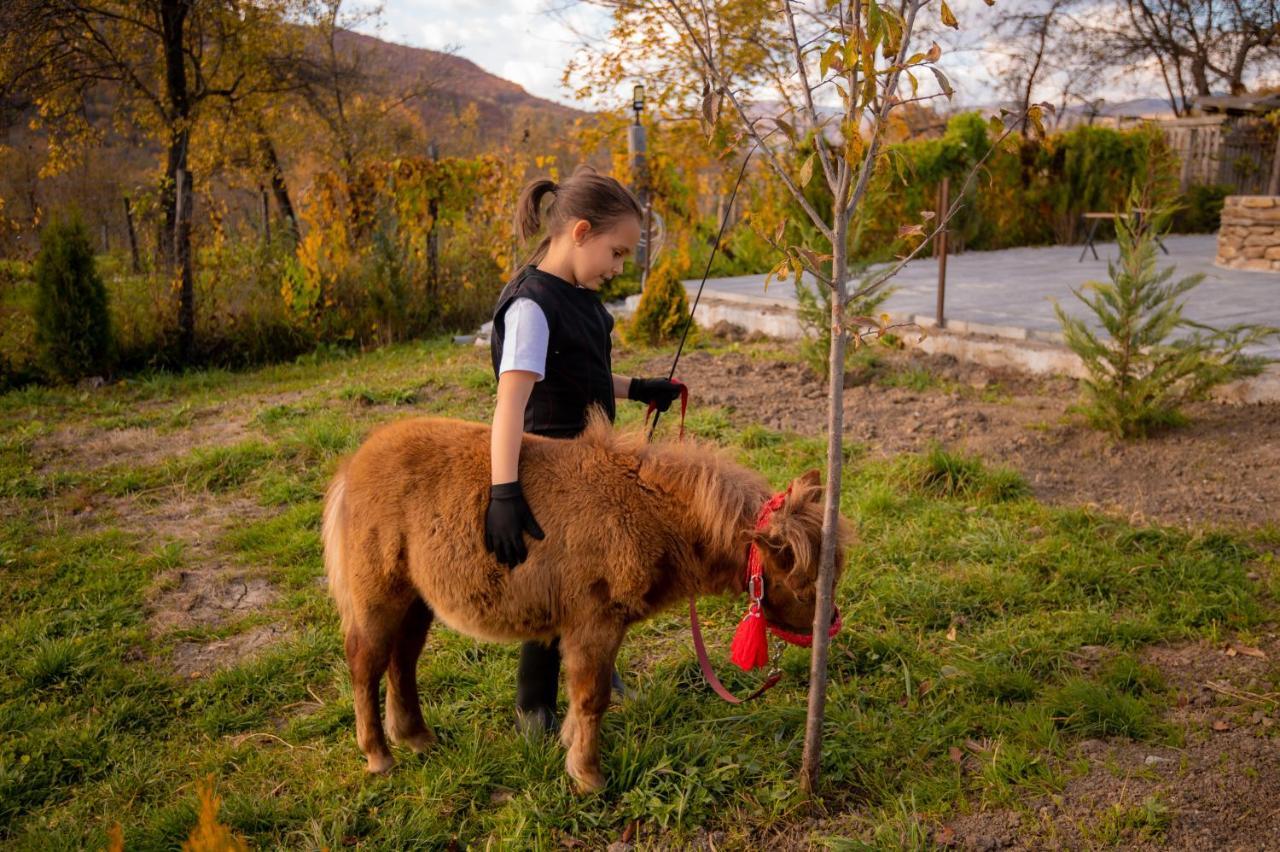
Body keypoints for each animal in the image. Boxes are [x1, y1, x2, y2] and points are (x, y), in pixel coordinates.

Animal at [325, 406, 855, 788]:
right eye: (802, 581)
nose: (828, 625)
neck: (642, 507)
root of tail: (353, 466)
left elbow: (584, 697)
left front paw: (569, 750)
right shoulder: (592, 624)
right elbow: (592, 697)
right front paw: (588, 776)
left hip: (417, 600)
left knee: (403, 660)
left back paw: (417, 737)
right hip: (378, 595)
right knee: (365, 663)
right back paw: (379, 755)